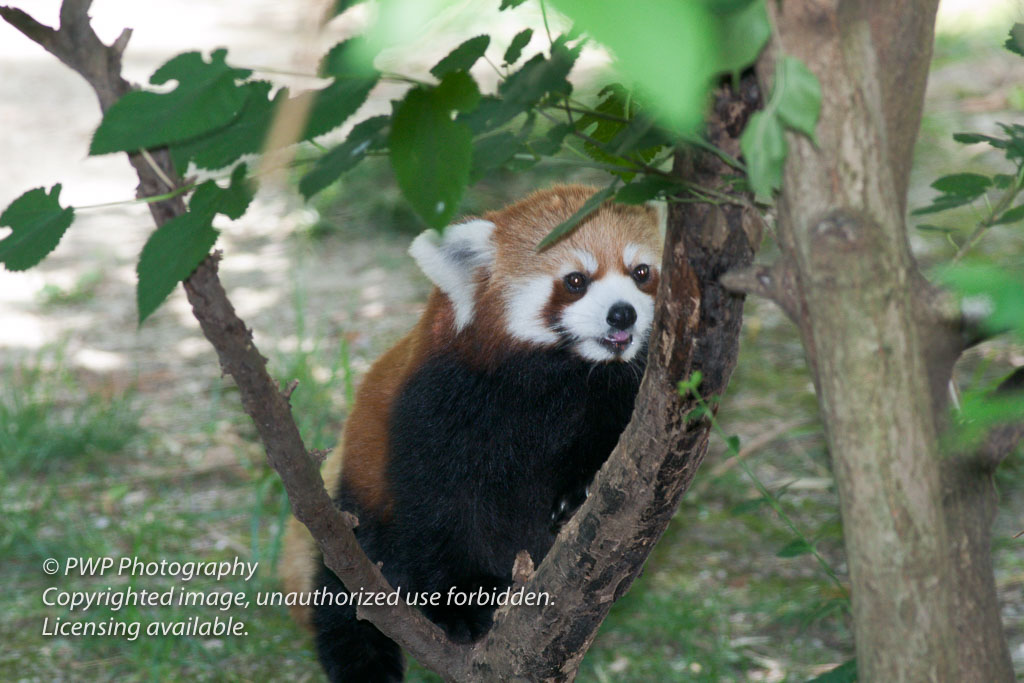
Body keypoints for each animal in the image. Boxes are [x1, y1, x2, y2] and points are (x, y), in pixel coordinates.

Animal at [280, 184, 663, 679]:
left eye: (641, 273)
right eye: (576, 280)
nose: (623, 314)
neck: (561, 375)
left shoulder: (617, 397)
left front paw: (579, 494)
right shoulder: (439, 404)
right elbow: (440, 507)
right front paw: (461, 602)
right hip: (357, 510)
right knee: (345, 600)